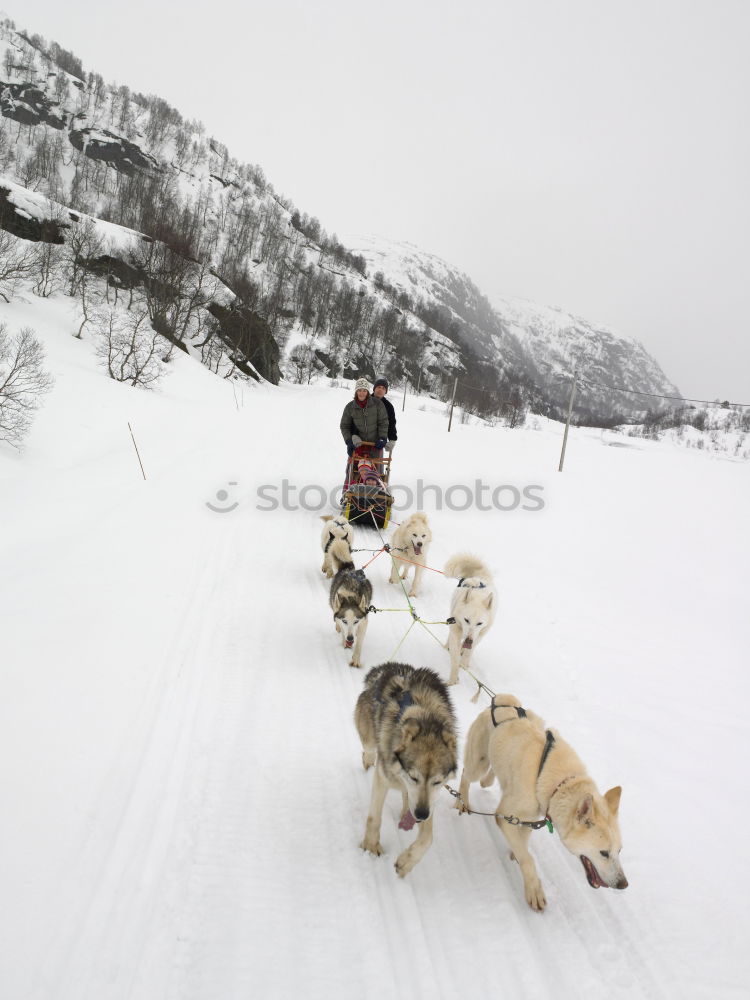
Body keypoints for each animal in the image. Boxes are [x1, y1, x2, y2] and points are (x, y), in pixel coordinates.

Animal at [356, 664, 458, 876]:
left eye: (437, 781)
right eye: (414, 777)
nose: (421, 814)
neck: (426, 720)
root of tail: (387, 667)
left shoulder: (429, 800)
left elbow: (428, 839)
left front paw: (406, 863)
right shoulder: (383, 778)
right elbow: (374, 818)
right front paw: (370, 847)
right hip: (369, 740)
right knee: (368, 751)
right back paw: (368, 763)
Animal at [444, 556, 496, 688]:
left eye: (479, 623)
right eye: (466, 620)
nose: (468, 640)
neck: (478, 596)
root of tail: (479, 577)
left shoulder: (479, 635)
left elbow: (469, 652)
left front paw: (464, 664)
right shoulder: (456, 629)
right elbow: (455, 657)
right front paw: (453, 678)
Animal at [458, 692, 628, 912]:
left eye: (619, 850)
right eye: (604, 853)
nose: (624, 884)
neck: (556, 782)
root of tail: (501, 703)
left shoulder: (529, 819)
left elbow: (523, 844)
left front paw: (516, 852)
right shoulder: (504, 816)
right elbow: (528, 858)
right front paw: (534, 890)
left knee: (490, 775)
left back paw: (489, 780)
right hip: (477, 764)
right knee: (465, 774)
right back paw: (462, 801)